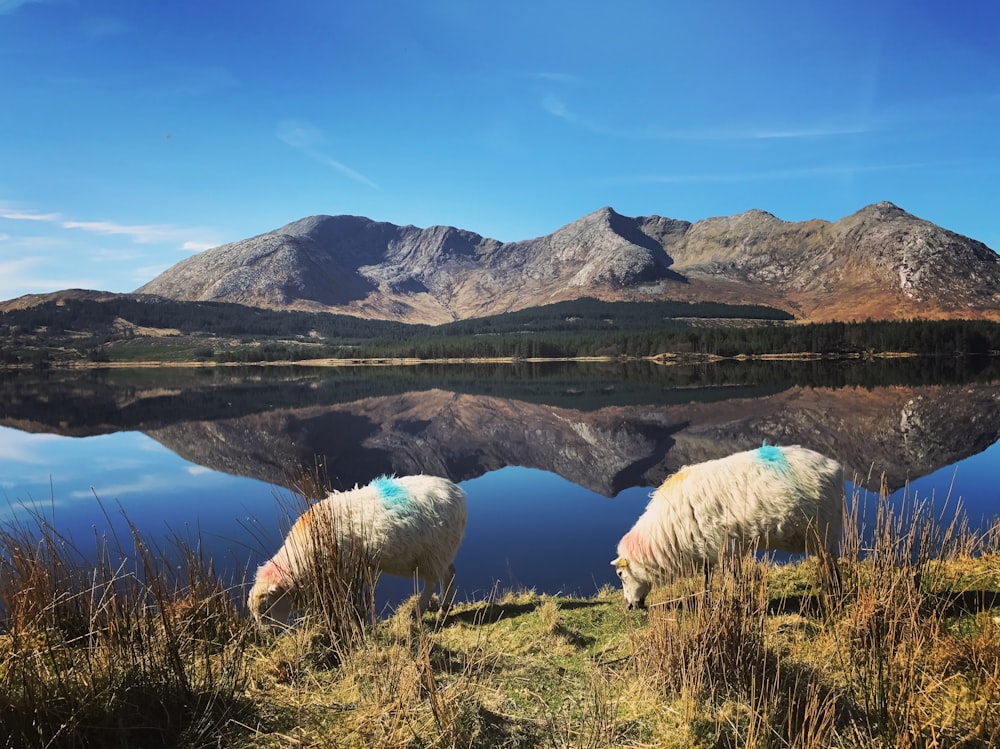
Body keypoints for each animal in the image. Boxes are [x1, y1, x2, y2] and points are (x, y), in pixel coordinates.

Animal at [250, 474, 468, 624]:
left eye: (267, 610)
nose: (267, 637)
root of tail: (458, 494)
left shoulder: (345, 571)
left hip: (435, 552)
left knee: (432, 582)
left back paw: (418, 612)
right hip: (443, 551)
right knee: (450, 574)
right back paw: (444, 608)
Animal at [612, 444, 840, 608]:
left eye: (621, 575)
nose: (629, 606)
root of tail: (833, 465)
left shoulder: (725, 545)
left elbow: (733, 577)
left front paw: (740, 602)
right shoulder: (707, 546)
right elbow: (707, 576)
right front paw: (706, 600)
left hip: (824, 529)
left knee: (830, 565)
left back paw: (833, 593)